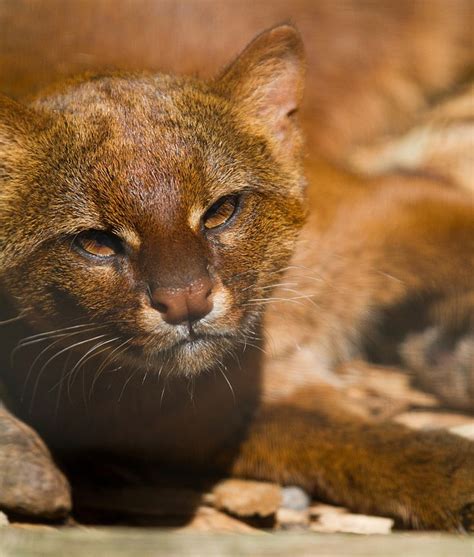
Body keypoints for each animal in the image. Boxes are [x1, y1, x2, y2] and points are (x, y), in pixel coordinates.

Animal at [0, 27, 472, 528]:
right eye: (95, 242)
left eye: (221, 211)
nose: (185, 300)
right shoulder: (226, 420)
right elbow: (357, 446)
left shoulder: (390, 208)